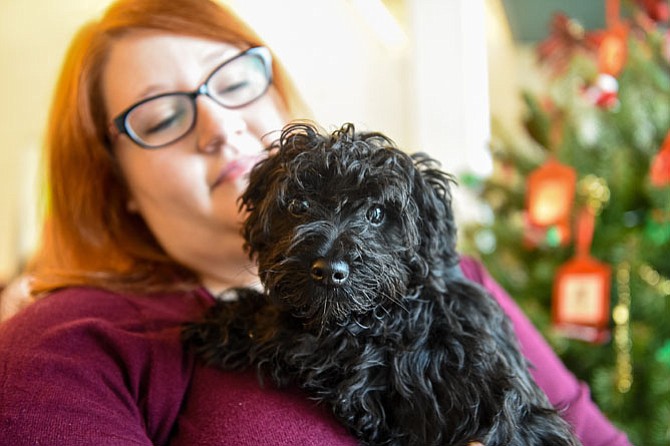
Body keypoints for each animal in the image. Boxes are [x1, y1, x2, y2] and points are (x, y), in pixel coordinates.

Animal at [182, 123, 584, 446]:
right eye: (299, 205)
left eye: (376, 214)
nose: (330, 270)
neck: (404, 308)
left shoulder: (361, 373)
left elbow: (286, 331)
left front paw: (221, 321)